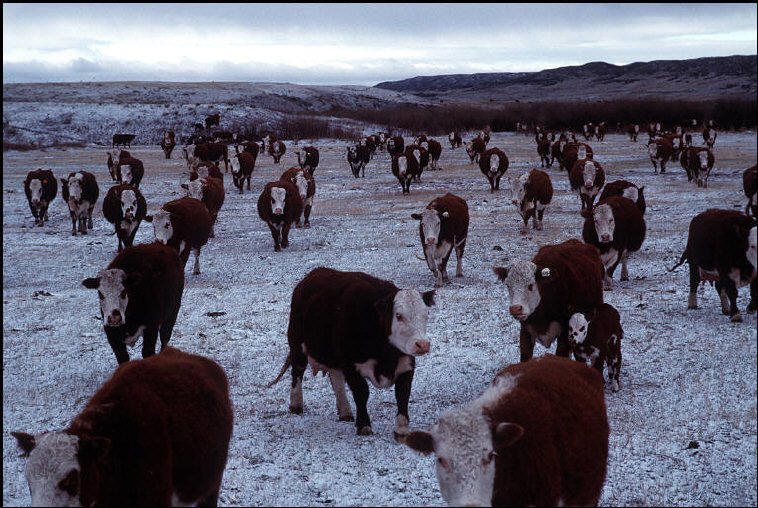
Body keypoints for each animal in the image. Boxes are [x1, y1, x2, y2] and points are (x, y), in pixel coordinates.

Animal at [267, 267, 435, 438]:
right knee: (297, 372)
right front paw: (364, 426)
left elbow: (402, 394)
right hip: (297, 344)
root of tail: (315, 272)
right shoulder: (350, 365)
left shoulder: (406, 364)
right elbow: (362, 393)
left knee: (336, 378)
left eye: (426, 315)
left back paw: (345, 412)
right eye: (399, 315)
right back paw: (296, 405)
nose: (422, 344)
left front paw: (401, 429)